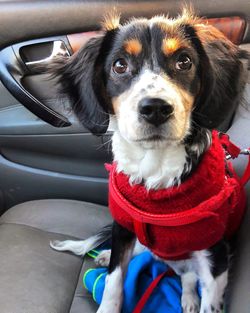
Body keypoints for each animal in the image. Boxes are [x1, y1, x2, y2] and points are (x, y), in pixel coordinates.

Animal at [49, 9, 248, 312]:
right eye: (120, 65)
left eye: (184, 61)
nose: (155, 108)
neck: (154, 165)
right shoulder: (123, 226)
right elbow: (114, 280)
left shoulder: (215, 255)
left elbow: (210, 298)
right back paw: (106, 255)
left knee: (189, 277)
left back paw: (188, 299)